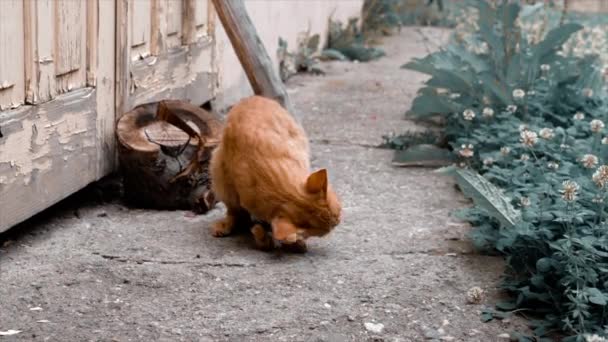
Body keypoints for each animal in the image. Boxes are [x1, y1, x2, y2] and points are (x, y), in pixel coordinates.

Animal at [210, 95, 342, 250]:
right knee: (234, 210)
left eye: (337, 212)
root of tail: (251, 97)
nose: (338, 220)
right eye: (326, 231)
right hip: (219, 173)